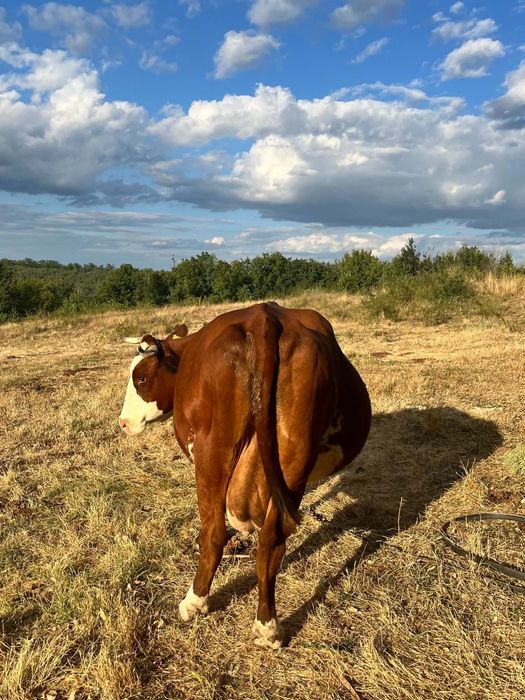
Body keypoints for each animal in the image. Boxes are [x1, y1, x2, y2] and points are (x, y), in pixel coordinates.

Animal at [119, 302, 371, 648]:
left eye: (141, 378)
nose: (123, 422)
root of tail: (264, 319)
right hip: (294, 458)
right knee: (272, 542)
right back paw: (268, 627)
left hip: (213, 455)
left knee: (214, 534)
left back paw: (194, 601)